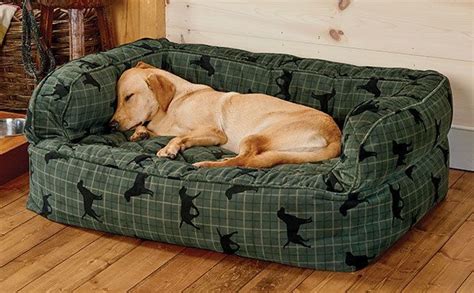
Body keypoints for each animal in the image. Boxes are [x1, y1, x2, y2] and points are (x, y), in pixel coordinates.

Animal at [109, 60, 342, 168]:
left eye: (129, 97)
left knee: (243, 161)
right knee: (246, 160)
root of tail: (336, 136)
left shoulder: (215, 133)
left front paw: (169, 148)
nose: (110, 126)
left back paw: (206, 165)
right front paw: (141, 133)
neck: (175, 101)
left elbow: (178, 137)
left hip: (254, 136)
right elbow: (162, 132)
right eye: (118, 98)